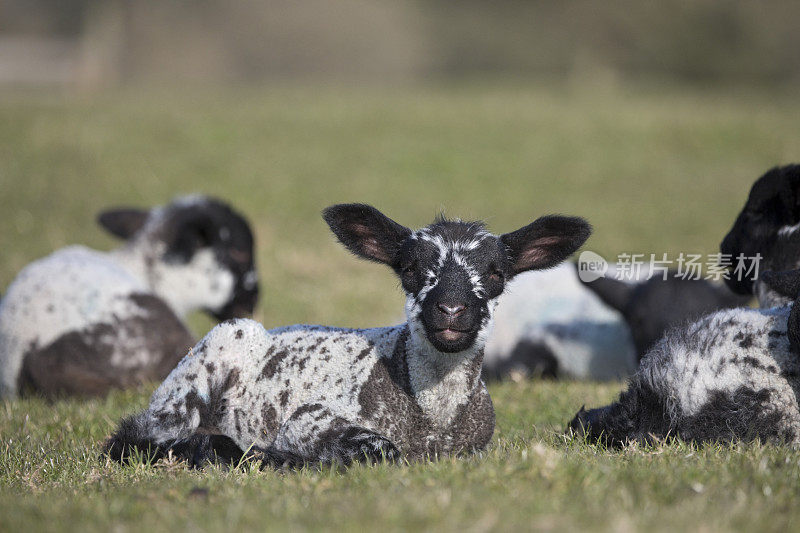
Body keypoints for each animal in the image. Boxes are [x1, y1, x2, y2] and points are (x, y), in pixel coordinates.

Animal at [103, 203, 592, 466]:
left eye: (496, 273)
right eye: (409, 268)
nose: (451, 311)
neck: (432, 424)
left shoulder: (476, 448)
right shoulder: (308, 421)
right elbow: (379, 448)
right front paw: (279, 459)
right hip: (208, 360)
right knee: (140, 436)